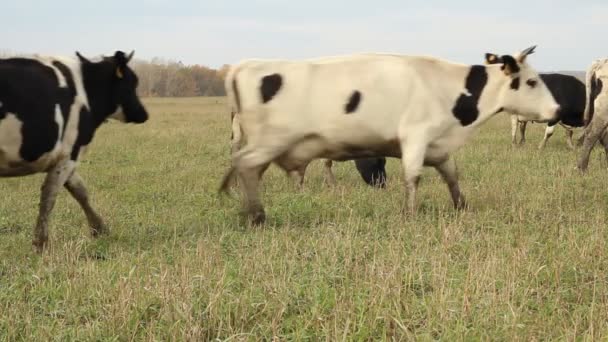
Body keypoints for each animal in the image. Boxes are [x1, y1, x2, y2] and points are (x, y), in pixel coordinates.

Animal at [0, 50, 148, 251]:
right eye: (132, 82)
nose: (144, 114)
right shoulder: (69, 154)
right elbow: (50, 196)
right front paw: (41, 243)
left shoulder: (66, 155)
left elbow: (80, 191)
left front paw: (99, 229)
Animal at [221, 46, 560, 223]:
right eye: (531, 81)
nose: (557, 109)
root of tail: (243, 66)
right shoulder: (416, 138)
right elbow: (413, 178)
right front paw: (410, 213)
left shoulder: (438, 147)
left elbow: (452, 176)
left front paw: (461, 206)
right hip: (270, 141)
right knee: (246, 164)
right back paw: (256, 215)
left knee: (244, 167)